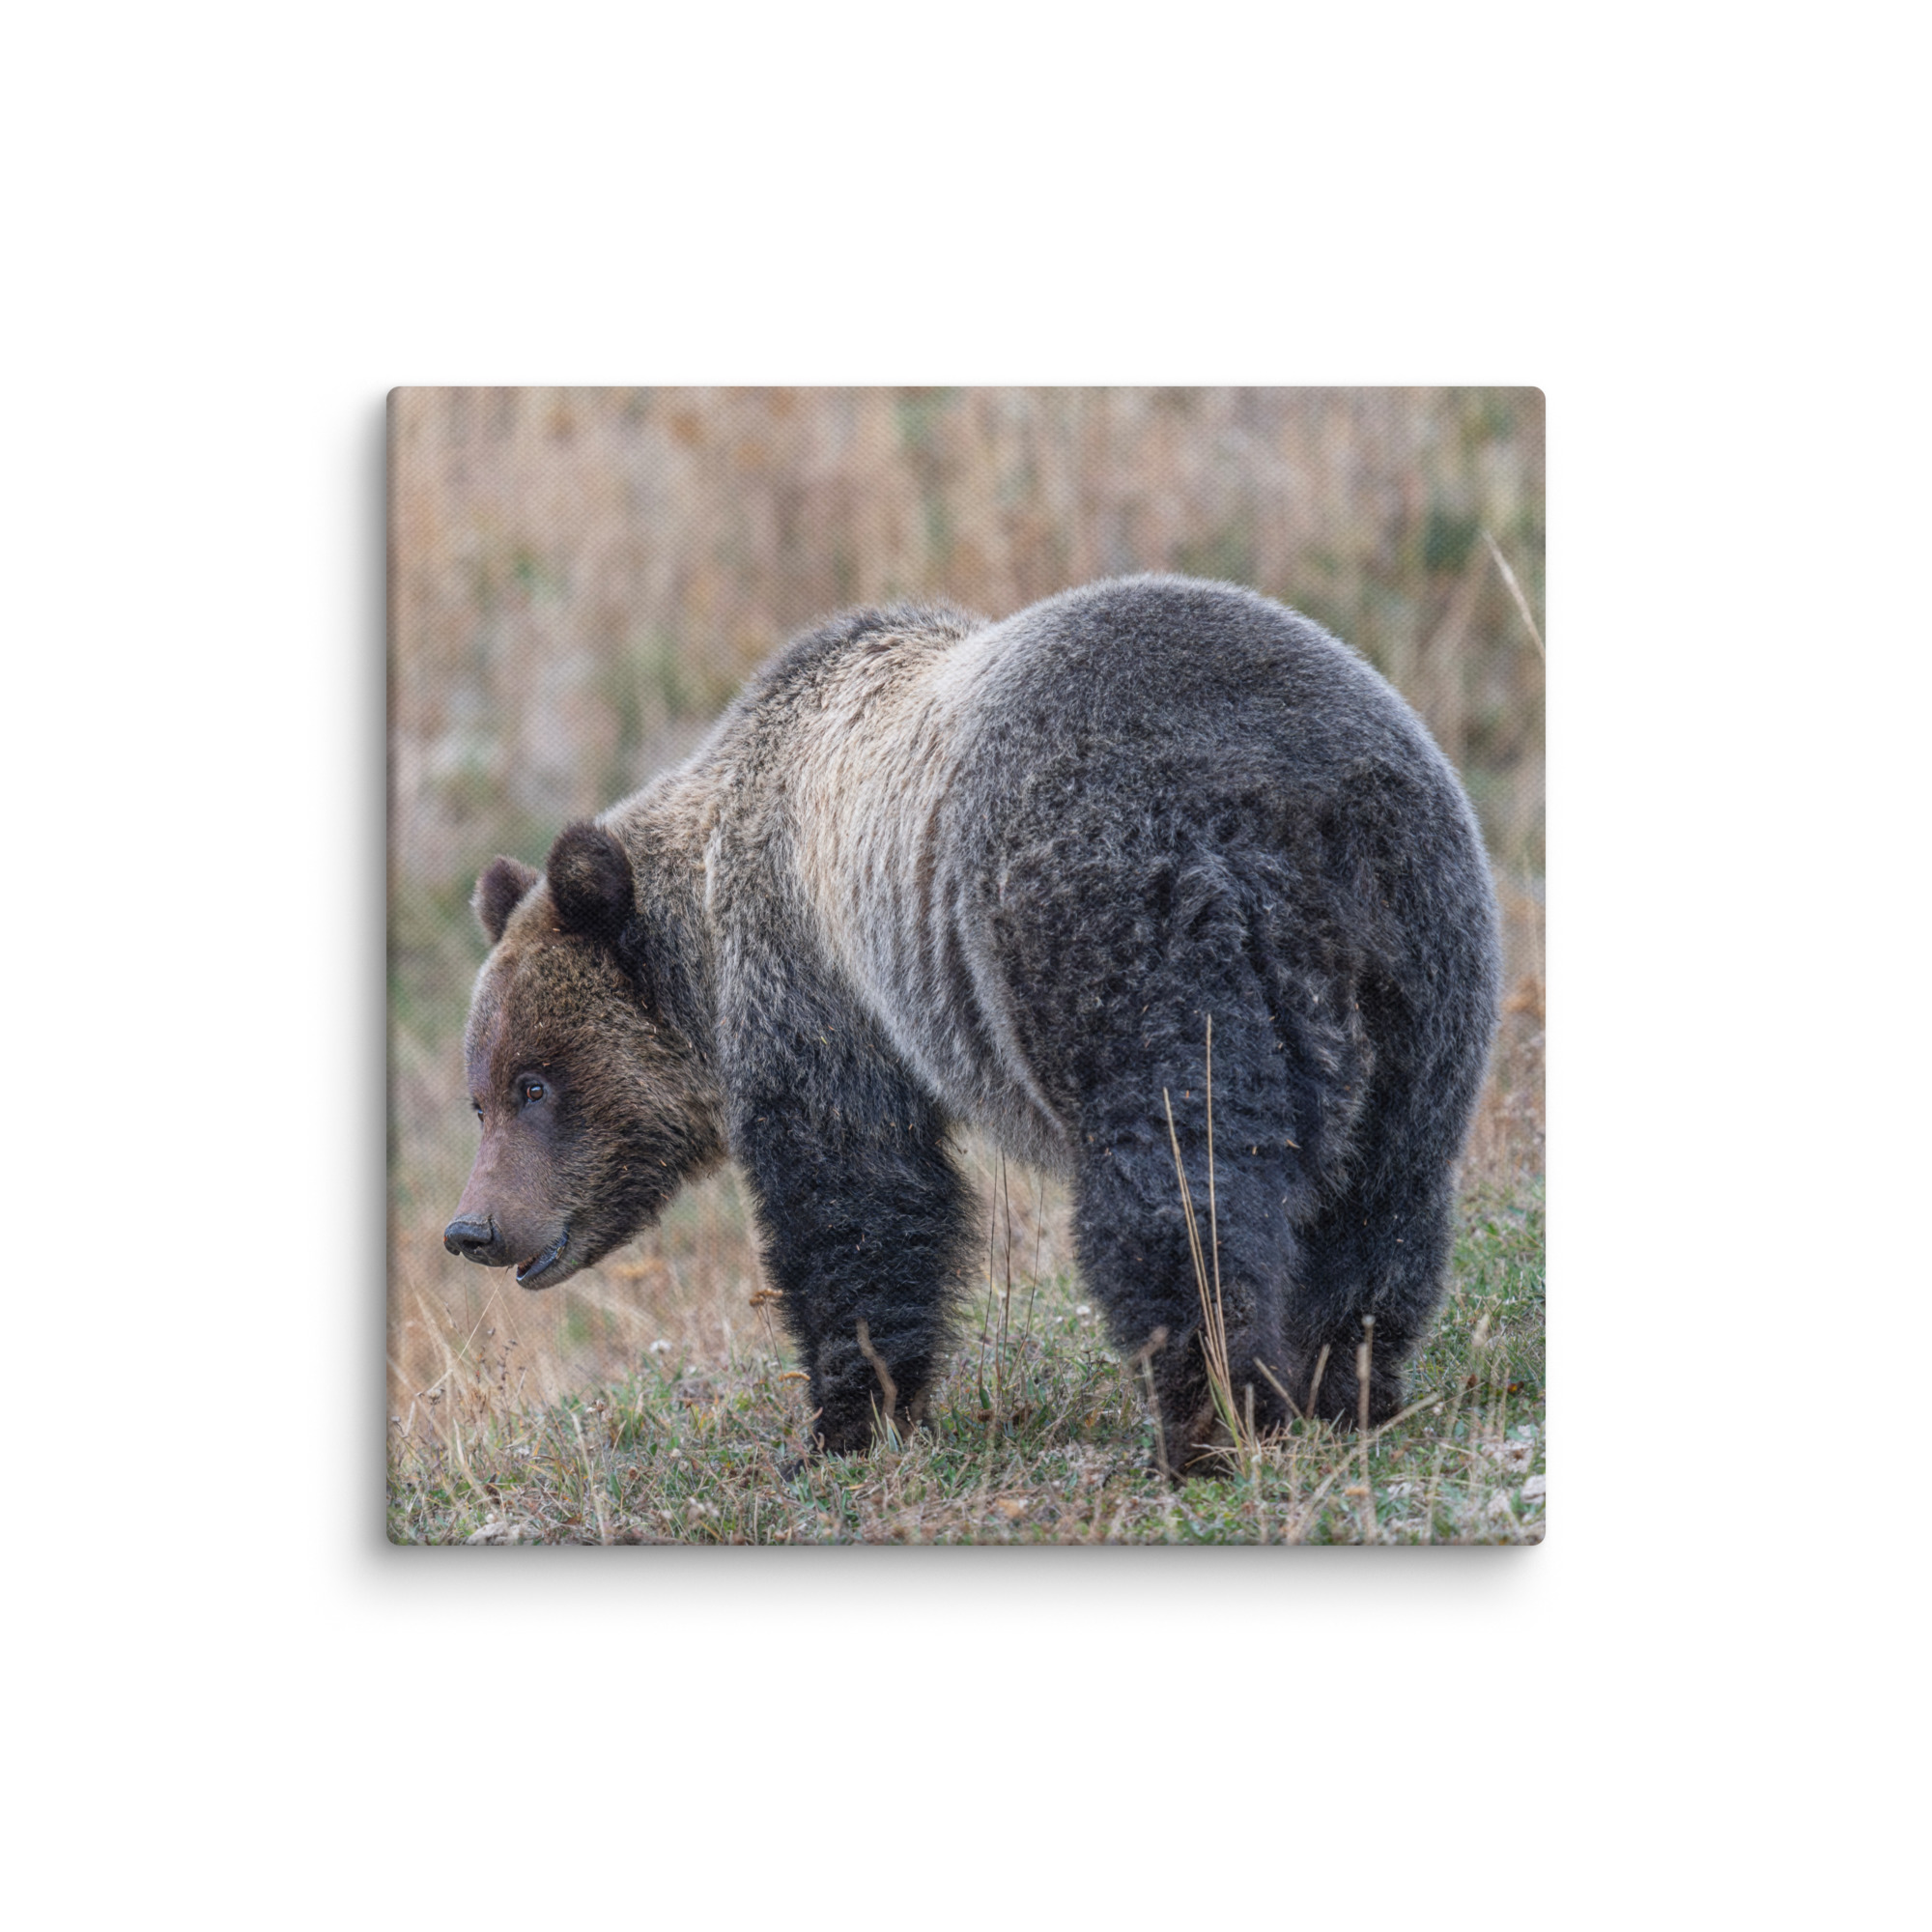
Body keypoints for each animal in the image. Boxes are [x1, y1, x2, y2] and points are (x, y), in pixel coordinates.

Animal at [443, 575, 1502, 1471]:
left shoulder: (817, 982)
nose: (473, 1227)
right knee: (1384, 1195)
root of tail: (1297, 806)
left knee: (1179, 1188)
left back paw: (1208, 1423)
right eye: (480, 1095)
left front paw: (843, 1422)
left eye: (534, 1083)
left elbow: (857, 1197)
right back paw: (1344, 1390)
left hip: (1126, 929)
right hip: (1422, 960)